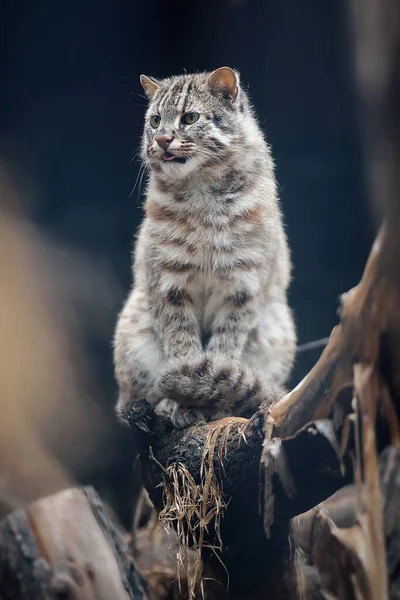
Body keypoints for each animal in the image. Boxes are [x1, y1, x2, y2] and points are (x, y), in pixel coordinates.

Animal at [114, 68, 296, 428]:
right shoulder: (168, 285)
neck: (203, 195)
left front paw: (211, 402)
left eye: (190, 117)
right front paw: (182, 399)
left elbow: (225, 347)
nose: (162, 139)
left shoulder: (243, 287)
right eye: (155, 120)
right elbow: (182, 344)